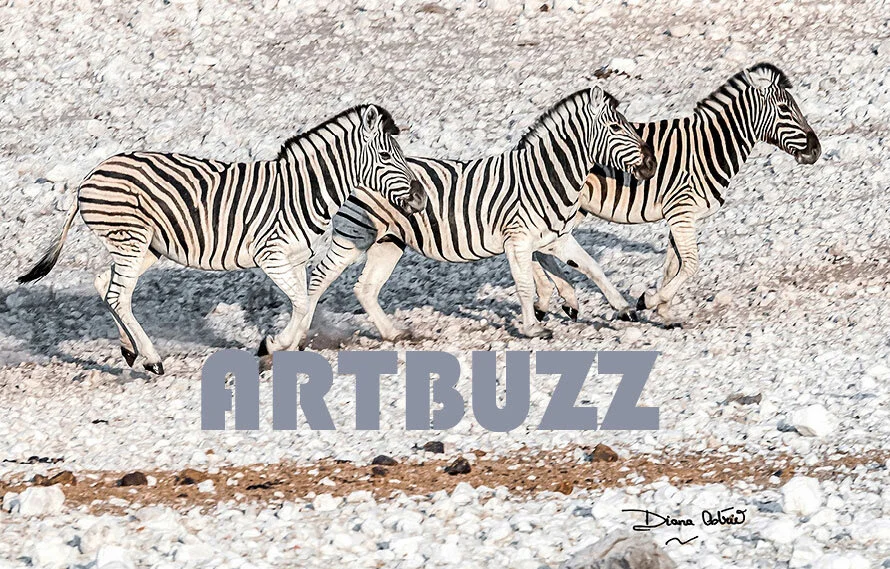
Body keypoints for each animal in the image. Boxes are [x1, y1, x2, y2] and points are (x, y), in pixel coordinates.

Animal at [16, 105, 426, 374]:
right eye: (387, 155)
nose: (420, 199)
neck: (303, 191)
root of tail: (92, 174)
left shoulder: (295, 258)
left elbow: (305, 302)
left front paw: (286, 345)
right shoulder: (271, 254)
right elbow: (301, 302)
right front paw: (273, 345)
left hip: (145, 245)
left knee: (107, 285)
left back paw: (130, 351)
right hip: (131, 239)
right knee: (118, 294)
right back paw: (152, 358)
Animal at [294, 86, 656, 345]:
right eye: (615, 126)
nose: (651, 164)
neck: (545, 175)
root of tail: (356, 172)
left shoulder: (556, 238)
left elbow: (594, 268)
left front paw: (624, 308)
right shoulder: (518, 240)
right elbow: (525, 285)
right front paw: (531, 329)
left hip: (389, 242)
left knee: (365, 288)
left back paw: (392, 334)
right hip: (353, 236)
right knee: (318, 279)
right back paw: (300, 335)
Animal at [530, 63, 821, 325]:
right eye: (784, 109)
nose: (816, 150)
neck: (709, 148)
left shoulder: (682, 214)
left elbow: (673, 265)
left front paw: (665, 312)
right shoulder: (681, 210)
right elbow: (690, 264)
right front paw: (649, 301)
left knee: (541, 250)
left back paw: (556, 303)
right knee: (540, 248)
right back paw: (550, 301)